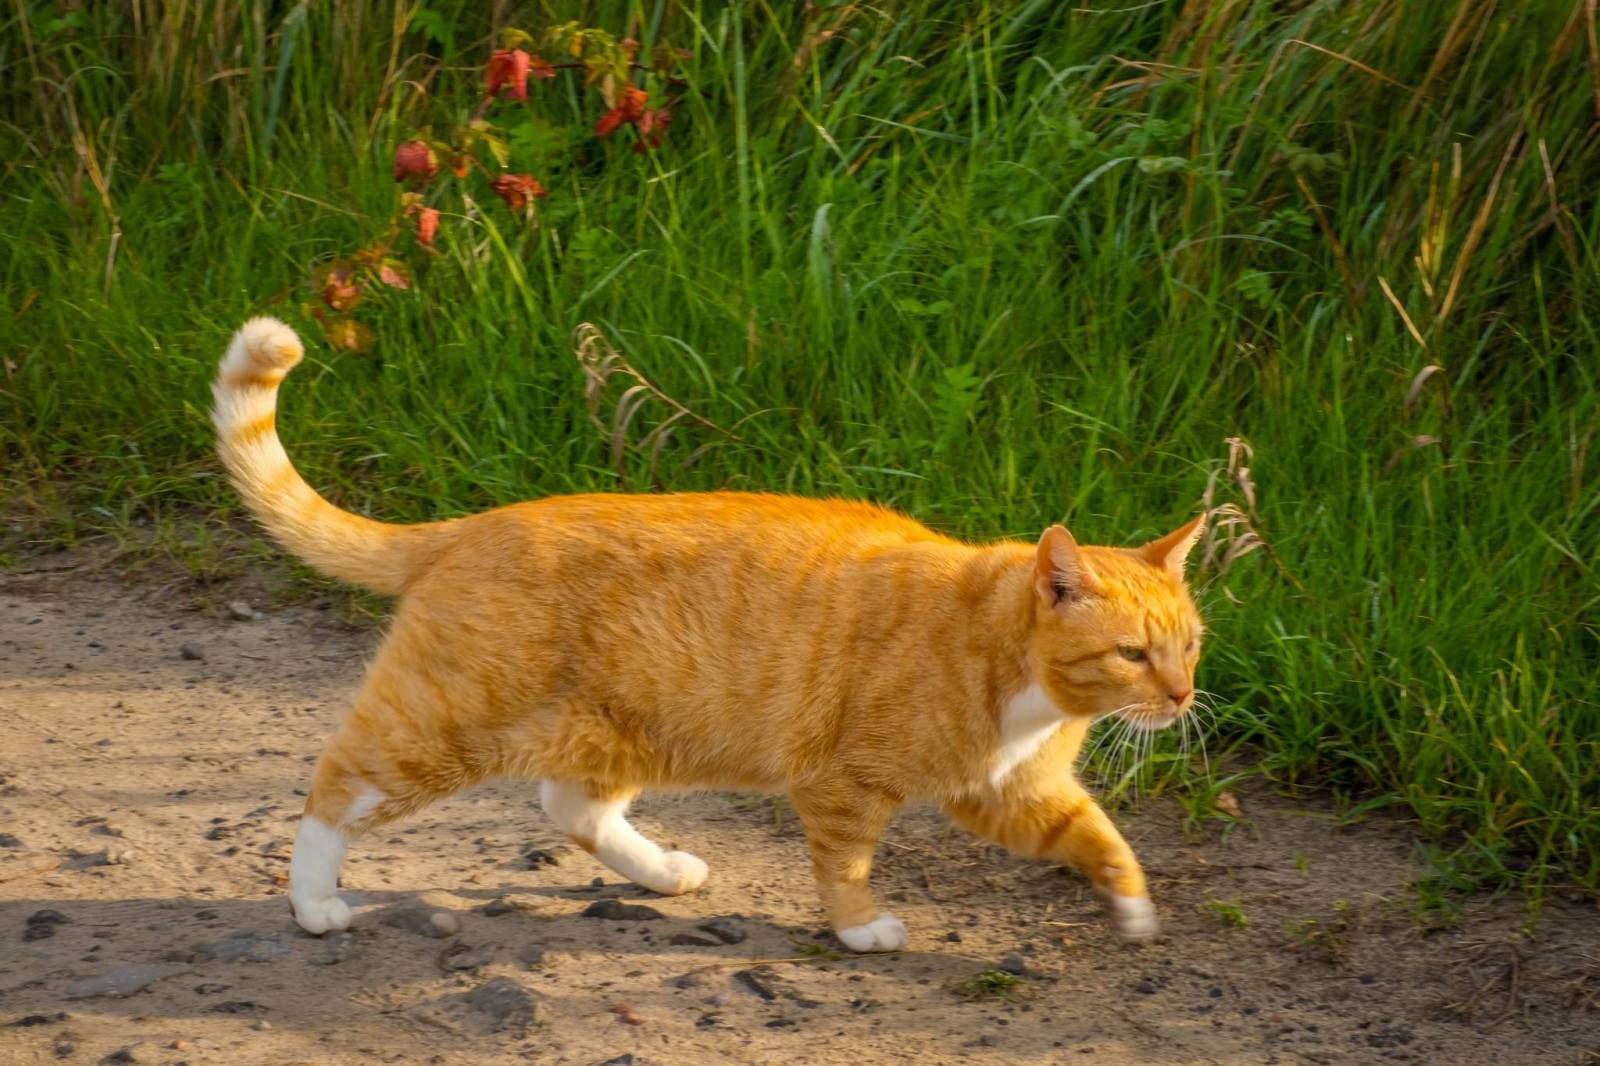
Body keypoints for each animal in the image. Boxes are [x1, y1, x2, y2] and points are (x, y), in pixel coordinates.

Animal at [212, 316, 1205, 952]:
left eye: (1190, 643)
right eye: (1132, 653)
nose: (1185, 696)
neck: (1019, 680)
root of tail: (477, 521)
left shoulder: (1014, 795)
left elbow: (1098, 837)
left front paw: (1133, 911)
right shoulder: (844, 786)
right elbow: (845, 867)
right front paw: (862, 930)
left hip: (621, 728)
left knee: (570, 808)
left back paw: (660, 871)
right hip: (446, 722)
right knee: (337, 785)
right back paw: (314, 903)